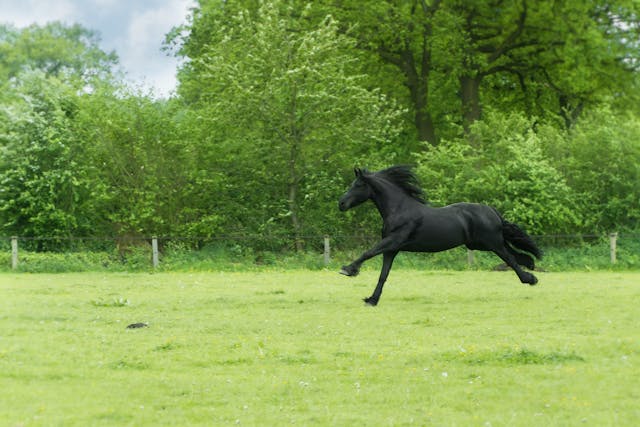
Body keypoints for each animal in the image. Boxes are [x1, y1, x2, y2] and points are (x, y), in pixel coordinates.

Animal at [338, 165, 542, 306]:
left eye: (358, 185)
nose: (341, 204)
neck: (399, 210)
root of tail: (492, 211)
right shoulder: (392, 249)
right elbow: (383, 274)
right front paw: (372, 299)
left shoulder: (393, 241)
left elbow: (368, 252)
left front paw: (348, 270)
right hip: (481, 244)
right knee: (516, 255)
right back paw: (531, 268)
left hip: (491, 243)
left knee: (510, 258)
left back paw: (530, 279)